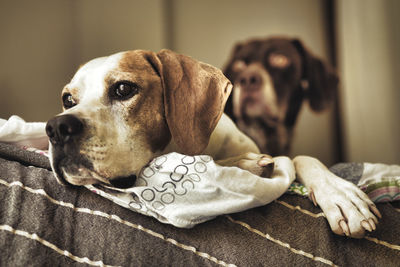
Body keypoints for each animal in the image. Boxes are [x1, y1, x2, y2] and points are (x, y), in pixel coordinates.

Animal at [45, 49, 380, 239]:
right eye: (68, 100)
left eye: (124, 89)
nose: (57, 127)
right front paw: (247, 165)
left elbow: (301, 159)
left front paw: (341, 196)